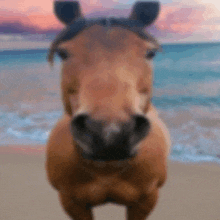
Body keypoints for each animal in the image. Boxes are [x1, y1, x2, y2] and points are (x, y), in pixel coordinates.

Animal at [45, 0, 171, 219]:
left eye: (150, 53)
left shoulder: (145, 201)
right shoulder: (71, 202)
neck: (107, 170)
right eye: (63, 53)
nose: (110, 132)